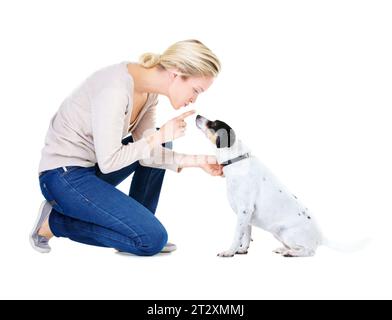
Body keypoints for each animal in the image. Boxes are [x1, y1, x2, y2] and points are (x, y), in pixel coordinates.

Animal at [194, 115, 324, 258]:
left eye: (214, 124)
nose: (197, 115)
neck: (236, 161)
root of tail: (320, 237)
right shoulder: (245, 215)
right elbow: (246, 234)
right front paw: (242, 249)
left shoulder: (244, 210)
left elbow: (237, 235)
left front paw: (229, 252)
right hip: (278, 233)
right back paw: (283, 250)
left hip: (287, 234)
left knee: (309, 251)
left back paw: (291, 253)